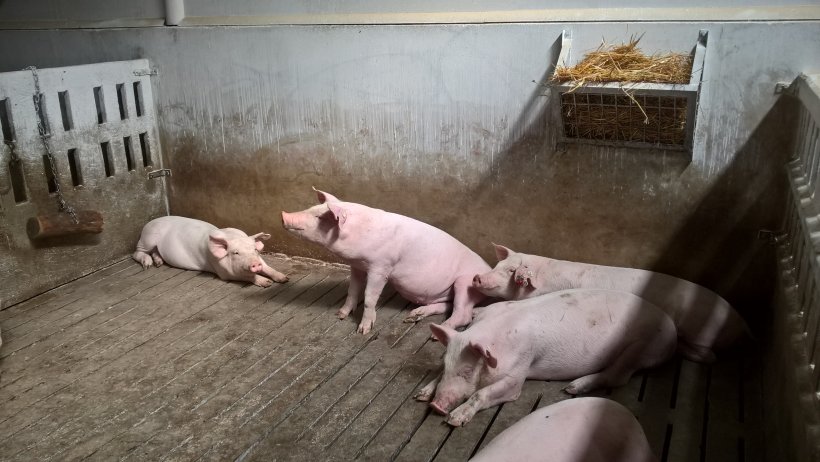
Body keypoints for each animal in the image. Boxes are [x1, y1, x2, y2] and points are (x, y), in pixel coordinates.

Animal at [132, 216, 288, 287]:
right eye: (236, 253)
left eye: (255, 249)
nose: (255, 263)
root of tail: (150, 222)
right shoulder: (223, 272)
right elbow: (247, 277)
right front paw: (267, 283)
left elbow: (268, 268)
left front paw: (284, 279)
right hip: (148, 239)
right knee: (136, 253)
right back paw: (148, 265)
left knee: (155, 252)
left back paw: (158, 263)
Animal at [281, 188, 490, 334]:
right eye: (311, 209)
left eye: (319, 217)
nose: (283, 215)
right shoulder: (357, 265)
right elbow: (352, 290)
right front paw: (340, 315)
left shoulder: (381, 267)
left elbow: (369, 297)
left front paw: (363, 331)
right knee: (449, 305)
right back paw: (413, 316)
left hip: (465, 282)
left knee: (463, 314)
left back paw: (437, 333)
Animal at [415, 289, 676, 427]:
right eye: (445, 364)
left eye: (468, 371)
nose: (437, 406)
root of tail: (672, 330)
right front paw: (421, 395)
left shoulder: (519, 370)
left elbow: (485, 393)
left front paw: (454, 420)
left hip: (640, 349)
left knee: (618, 376)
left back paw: (572, 388)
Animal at [472, 244, 749, 363]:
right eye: (497, 265)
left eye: (511, 272)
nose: (477, 277)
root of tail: (740, 324)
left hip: (703, 335)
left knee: (709, 356)